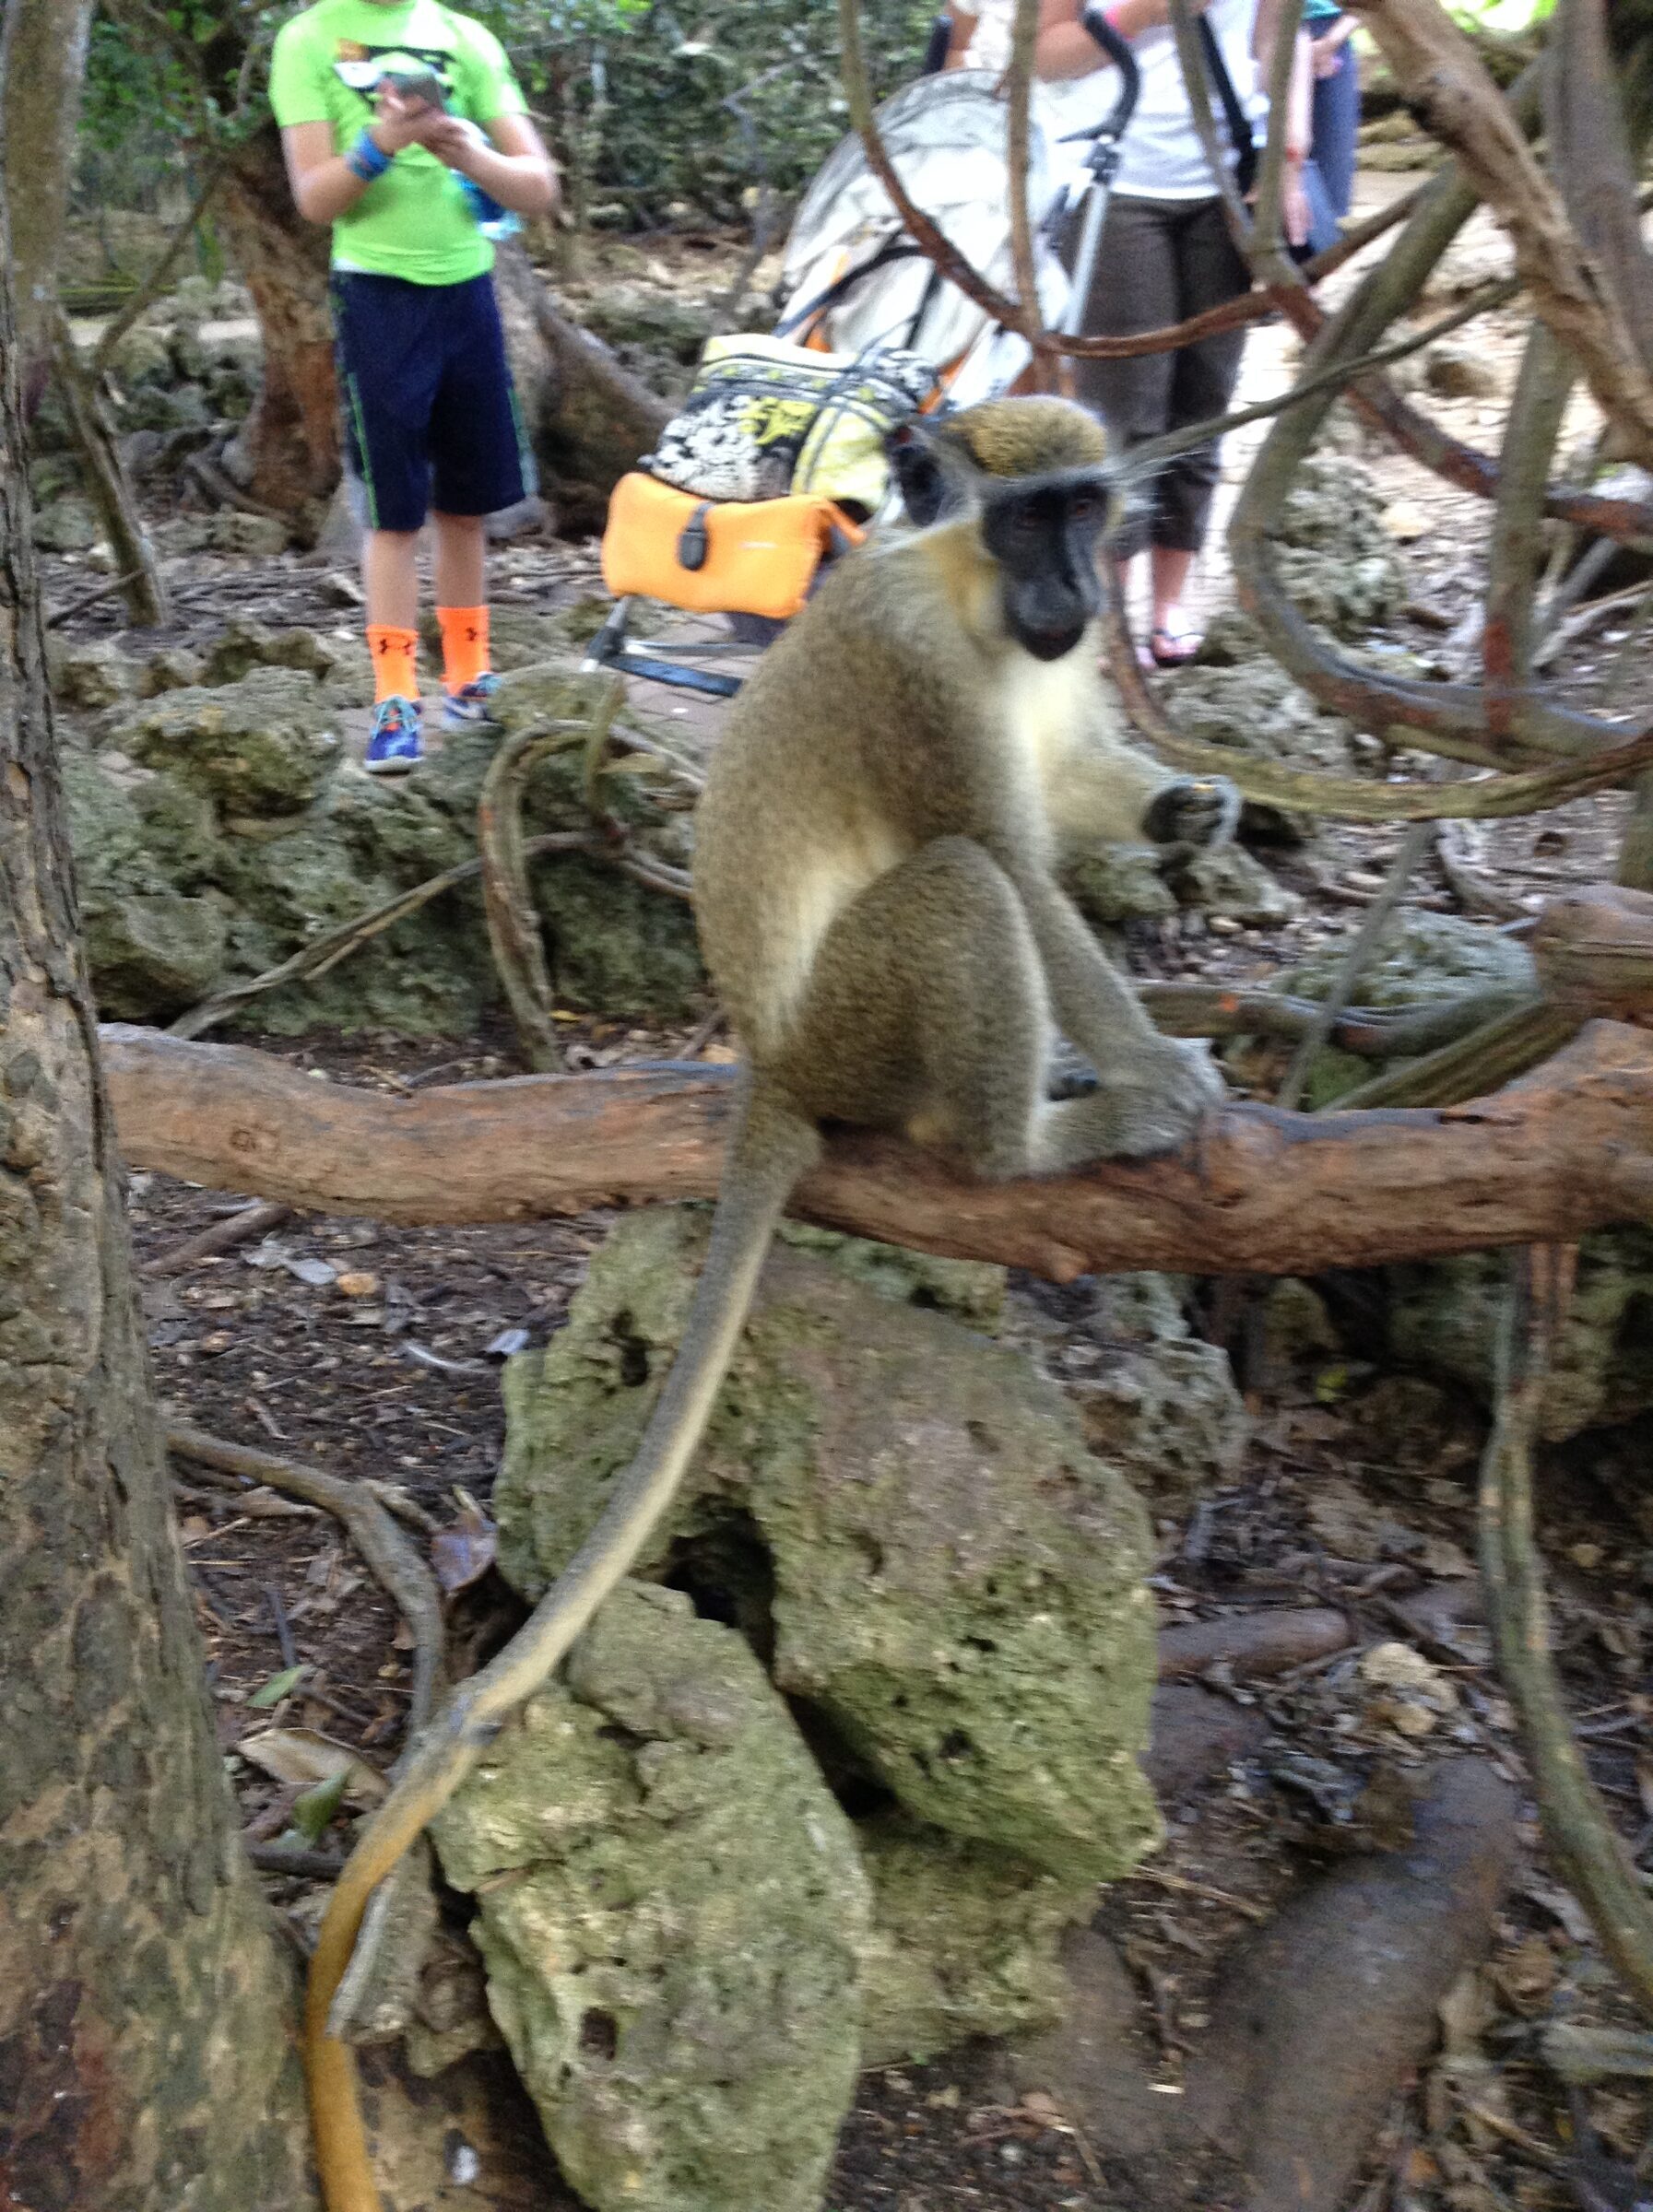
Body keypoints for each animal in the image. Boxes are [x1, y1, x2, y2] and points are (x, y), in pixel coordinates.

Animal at [302, 395, 1235, 2212]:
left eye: (1090, 512)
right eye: (1027, 518)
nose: (1078, 584)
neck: (959, 594)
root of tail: (768, 1060)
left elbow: (1076, 789)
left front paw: (1191, 810)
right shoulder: (916, 679)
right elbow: (1015, 859)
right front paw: (1157, 1065)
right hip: (861, 1028)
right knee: (958, 890)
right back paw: (1040, 1137)